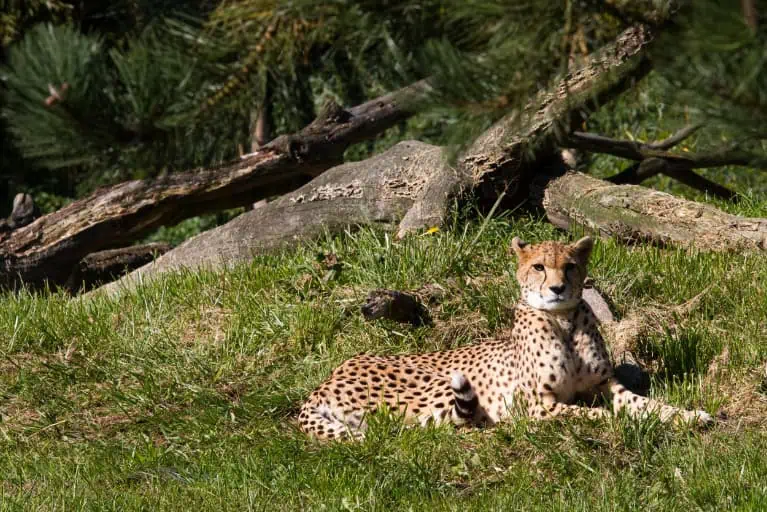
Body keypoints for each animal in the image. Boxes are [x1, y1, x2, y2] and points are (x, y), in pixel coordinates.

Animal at [298, 236, 714, 440]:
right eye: (539, 267)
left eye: (570, 266)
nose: (558, 288)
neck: (563, 322)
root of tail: (327, 378)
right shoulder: (536, 406)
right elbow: (592, 415)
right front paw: (614, 422)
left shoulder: (607, 385)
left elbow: (647, 405)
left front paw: (688, 416)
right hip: (437, 388)